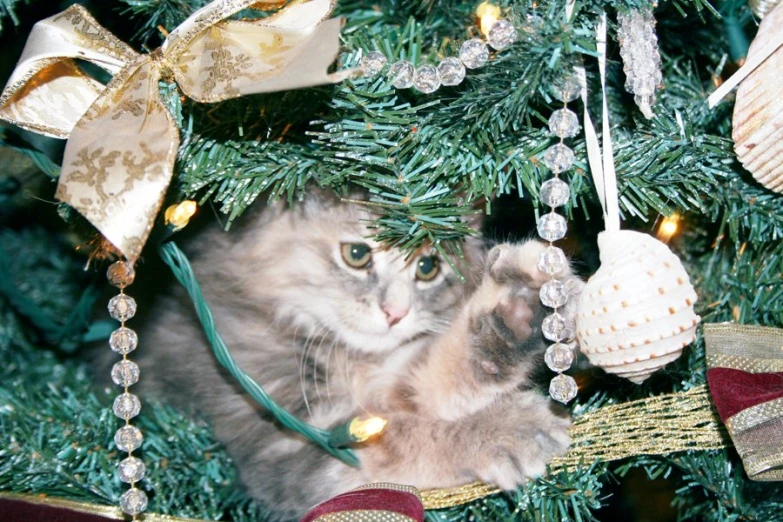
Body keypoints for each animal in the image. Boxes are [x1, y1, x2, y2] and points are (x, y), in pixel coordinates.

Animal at [132, 193, 580, 516]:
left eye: (428, 267)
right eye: (357, 255)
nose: (396, 313)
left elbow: (428, 377)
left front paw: (517, 309)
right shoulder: (288, 437)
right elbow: (403, 437)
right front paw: (506, 428)